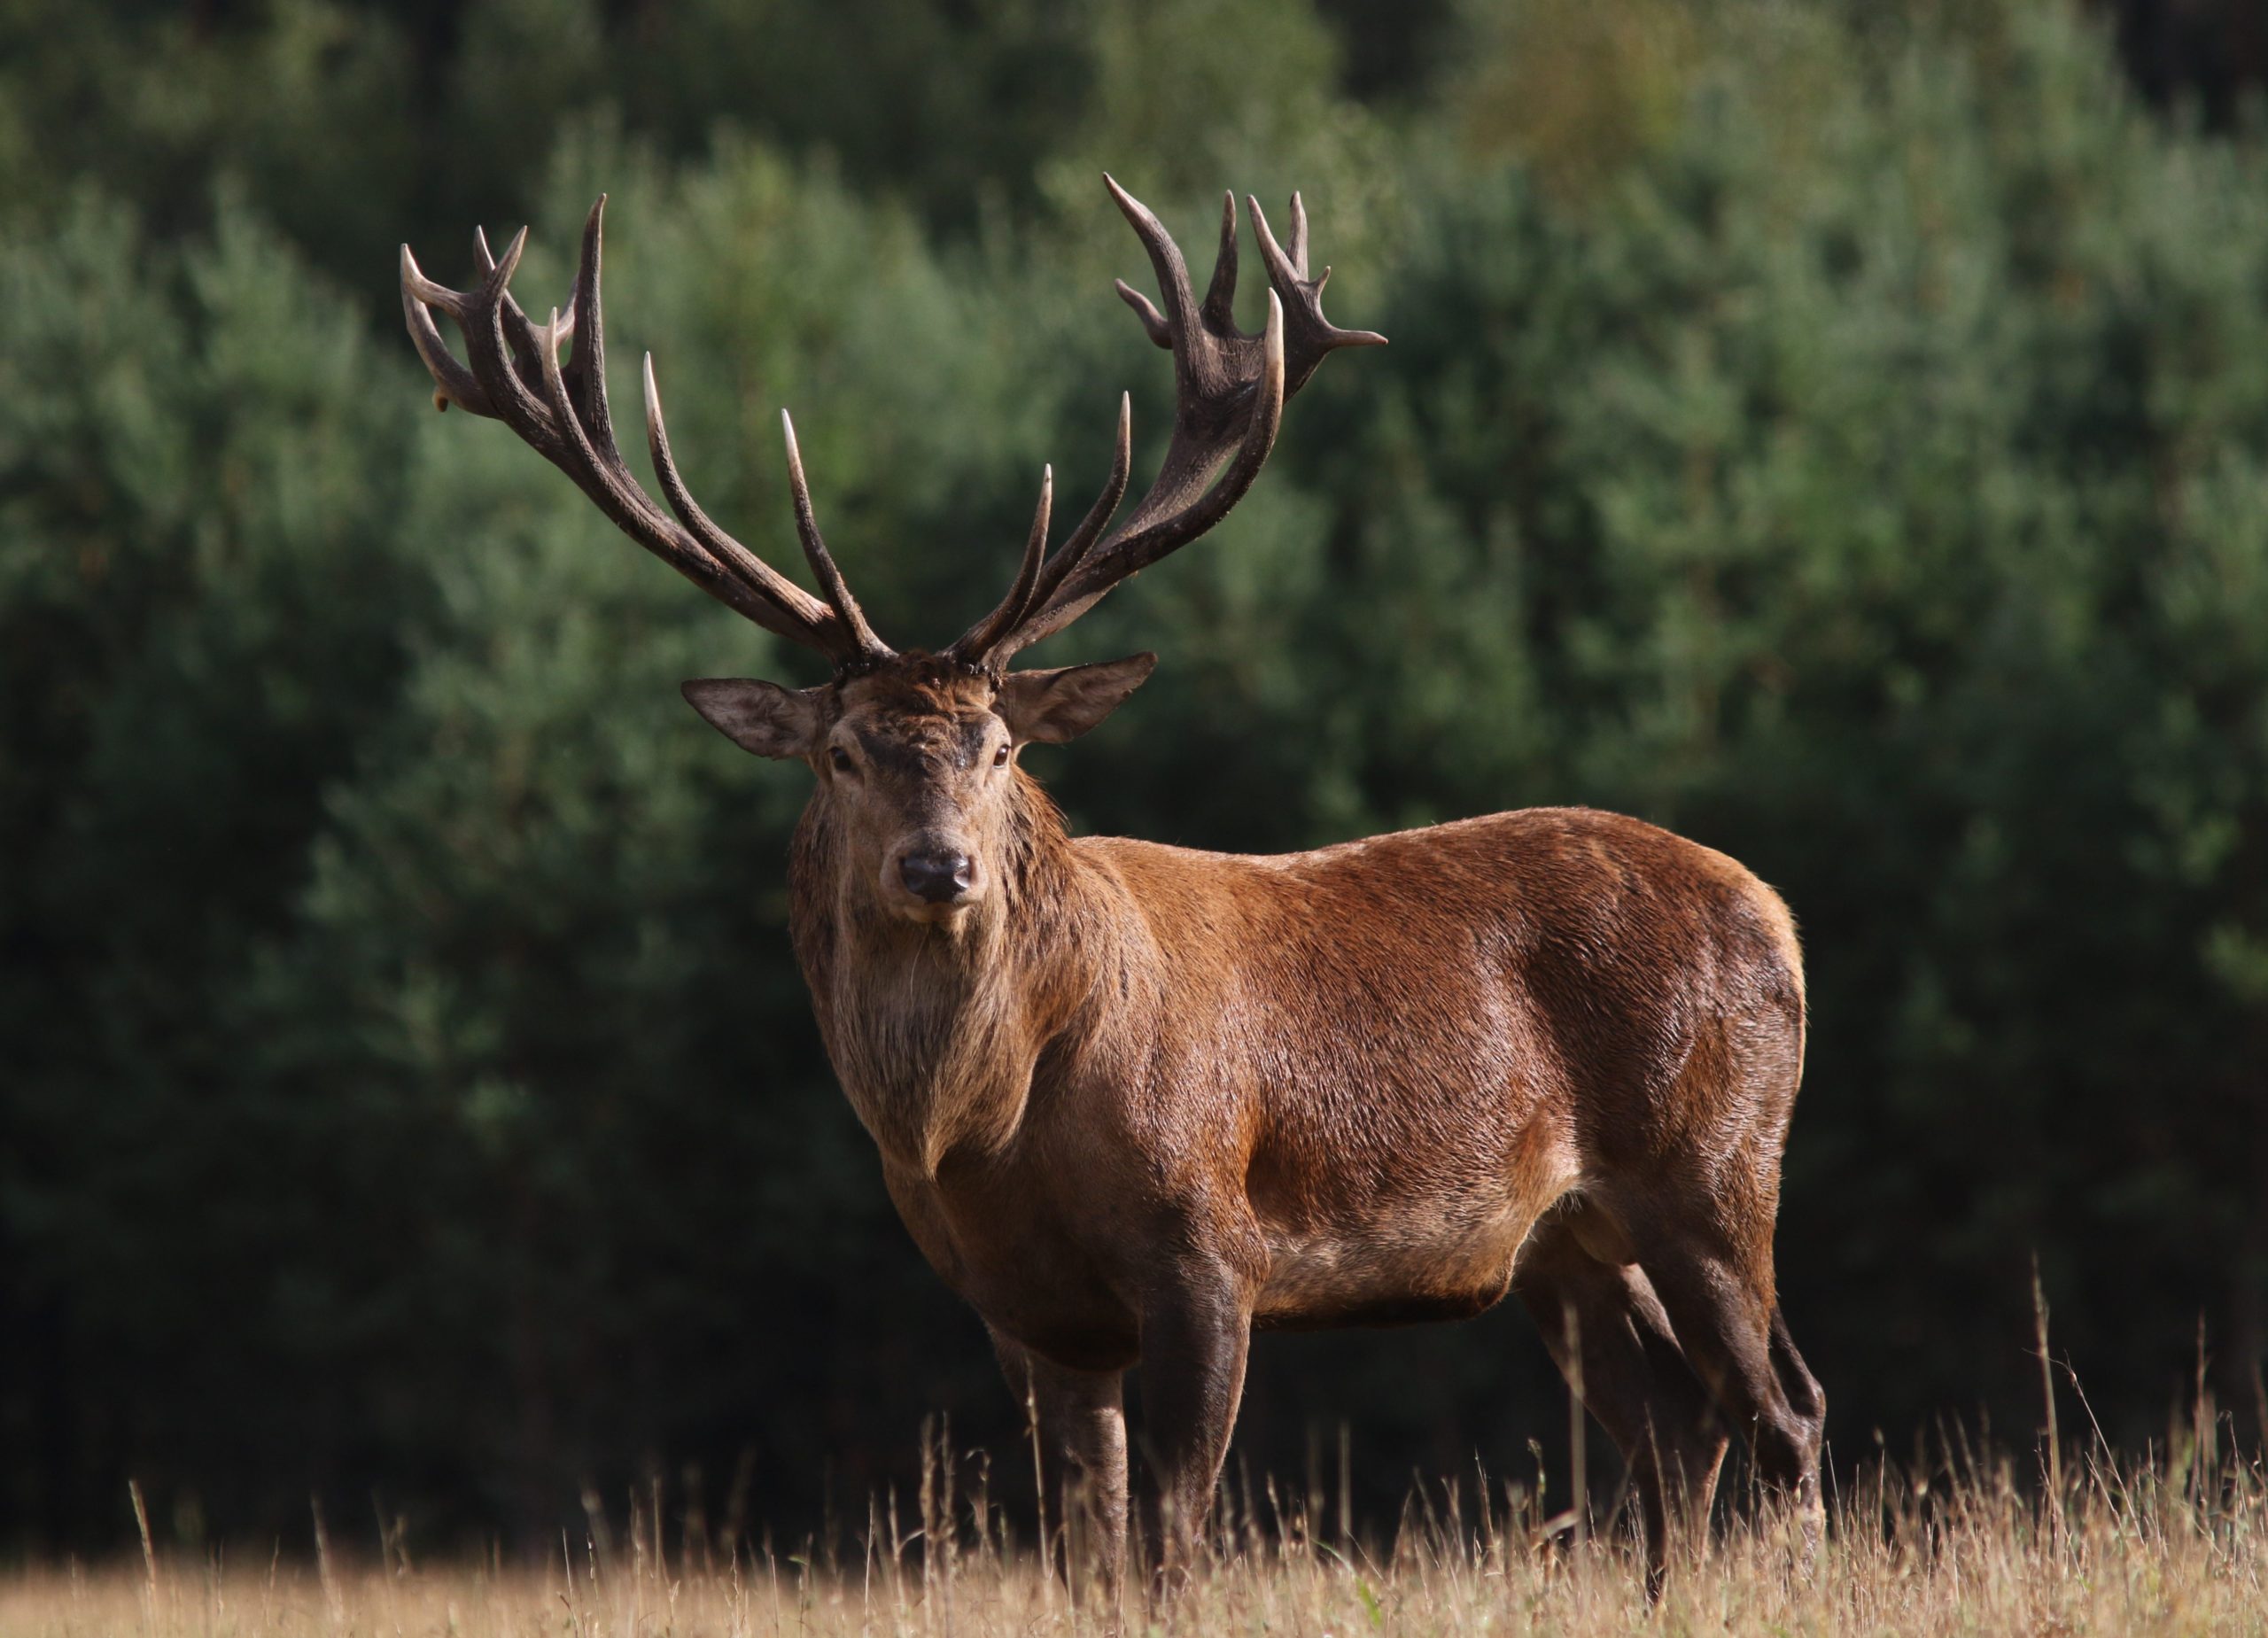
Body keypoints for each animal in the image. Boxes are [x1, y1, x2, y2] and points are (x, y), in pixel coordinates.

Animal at [399, 172, 1823, 1588]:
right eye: (843, 753)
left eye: (1001, 745)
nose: (940, 864)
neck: (988, 1127)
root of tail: (1779, 914)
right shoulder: (1022, 1311)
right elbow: (1085, 1542)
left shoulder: (1210, 1253)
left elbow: (1172, 1539)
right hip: (1558, 1245)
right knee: (1679, 1425)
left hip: (1713, 1164)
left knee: (1785, 1407)